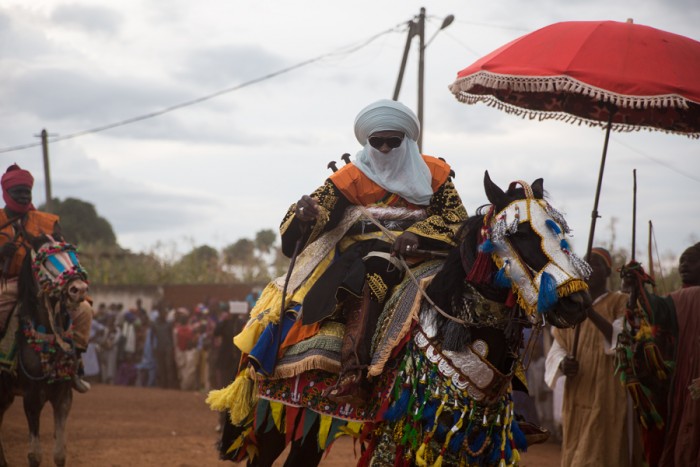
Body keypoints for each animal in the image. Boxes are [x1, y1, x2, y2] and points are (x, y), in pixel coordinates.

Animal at [0, 236, 89, 466]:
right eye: (46, 261)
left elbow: (59, 453)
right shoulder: (31, 398)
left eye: (73, 254)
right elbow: (35, 455)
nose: (79, 289)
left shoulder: (64, 396)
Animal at [212, 173, 592, 467]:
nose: (577, 302)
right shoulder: (406, 435)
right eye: (518, 233)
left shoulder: (472, 442)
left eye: (559, 231)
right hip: (272, 418)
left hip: (310, 421)